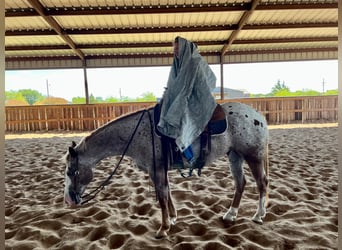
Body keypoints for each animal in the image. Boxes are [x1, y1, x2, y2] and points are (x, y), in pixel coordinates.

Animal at [62, 101, 268, 238]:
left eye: (70, 171)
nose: (68, 200)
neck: (138, 133)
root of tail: (259, 116)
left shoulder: (156, 170)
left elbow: (161, 198)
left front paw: (163, 228)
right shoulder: (160, 170)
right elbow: (167, 193)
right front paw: (173, 219)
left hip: (253, 156)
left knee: (262, 183)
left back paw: (258, 215)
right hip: (235, 155)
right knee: (241, 183)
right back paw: (231, 214)